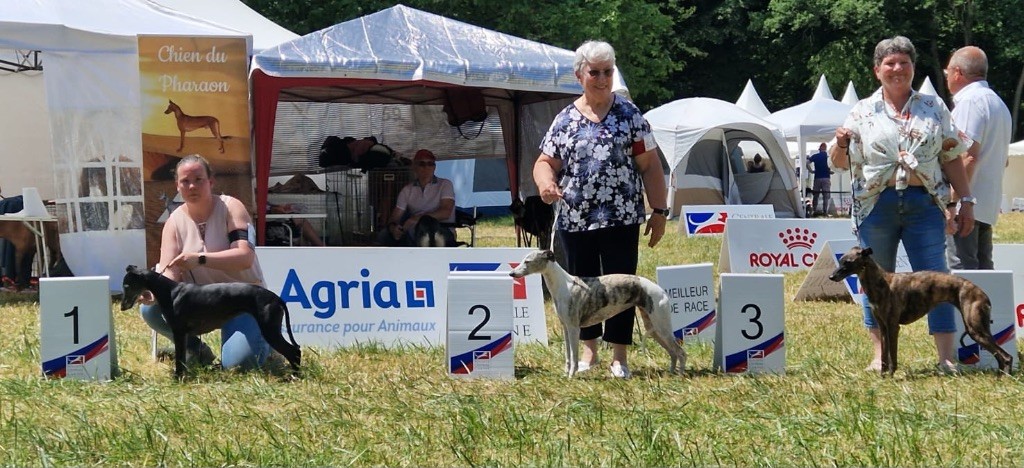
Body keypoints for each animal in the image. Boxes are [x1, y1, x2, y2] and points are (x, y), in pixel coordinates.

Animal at [119, 264, 301, 376]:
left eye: (126, 285)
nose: (122, 307)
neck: (170, 292)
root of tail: (276, 298)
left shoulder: (179, 332)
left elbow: (179, 359)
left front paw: (178, 377)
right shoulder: (183, 334)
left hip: (270, 329)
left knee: (294, 350)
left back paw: (294, 376)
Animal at [505, 247, 684, 374]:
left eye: (528, 261)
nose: (511, 273)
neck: (564, 285)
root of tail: (661, 290)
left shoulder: (574, 328)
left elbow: (574, 356)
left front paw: (571, 376)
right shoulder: (565, 327)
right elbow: (568, 355)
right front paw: (566, 373)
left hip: (661, 326)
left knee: (681, 352)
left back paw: (681, 374)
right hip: (654, 328)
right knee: (673, 352)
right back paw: (671, 372)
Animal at [827, 245, 1011, 374]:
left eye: (848, 262)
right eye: (841, 260)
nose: (831, 277)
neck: (881, 282)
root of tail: (982, 293)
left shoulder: (893, 326)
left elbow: (893, 355)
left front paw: (892, 375)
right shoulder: (883, 326)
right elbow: (884, 355)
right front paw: (882, 376)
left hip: (976, 329)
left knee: (1006, 356)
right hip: (976, 329)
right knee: (1000, 356)